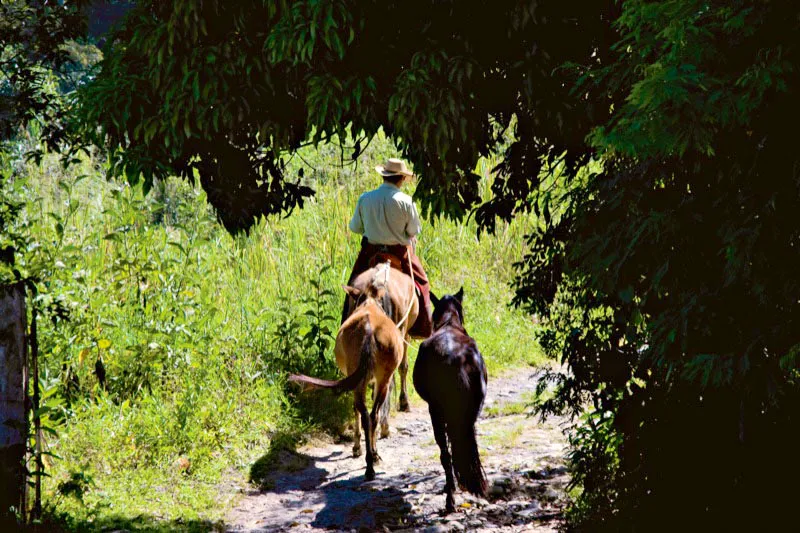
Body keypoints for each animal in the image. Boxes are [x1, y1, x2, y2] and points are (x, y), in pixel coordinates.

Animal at [290, 264, 406, 480]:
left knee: (364, 413)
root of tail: (369, 331)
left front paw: (357, 447)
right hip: (383, 377)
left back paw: (368, 461)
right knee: (373, 415)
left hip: (361, 377)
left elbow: (355, 409)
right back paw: (373, 460)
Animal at [412, 288, 488, 512]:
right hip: (469, 412)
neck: (449, 323)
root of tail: (455, 357)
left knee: (446, 453)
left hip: (436, 410)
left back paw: (450, 500)